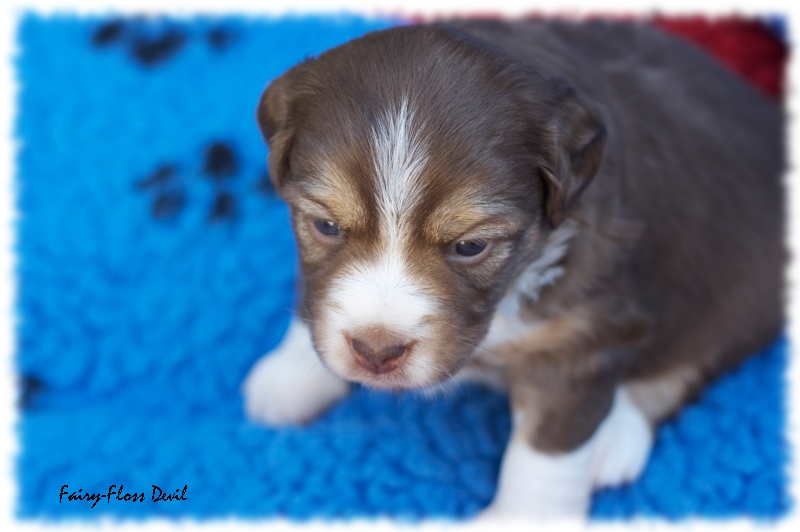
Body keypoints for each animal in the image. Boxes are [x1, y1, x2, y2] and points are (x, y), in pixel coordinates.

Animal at [241, 19, 784, 520]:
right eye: (326, 226)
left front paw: (524, 517)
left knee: (693, 359)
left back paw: (614, 438)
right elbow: (310, 300)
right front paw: (289, 378)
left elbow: (547, 453)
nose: (376, 352)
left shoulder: (583, 340)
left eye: (471, 246)